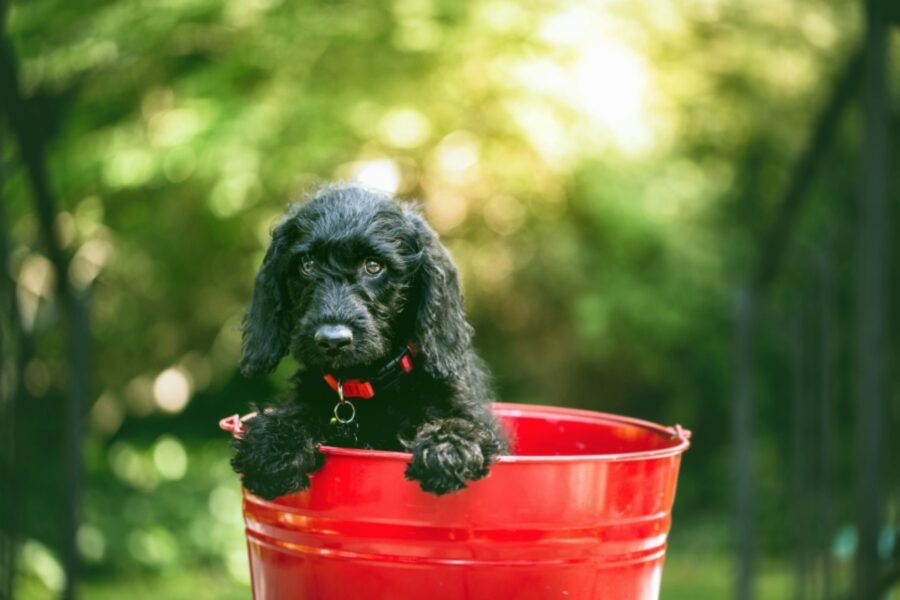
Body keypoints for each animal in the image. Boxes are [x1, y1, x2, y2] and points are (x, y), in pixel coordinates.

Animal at [230, 185, 506, 500]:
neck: (365, 383)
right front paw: (273, 445)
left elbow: (463, 424)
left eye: (374, 266)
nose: (332, 340)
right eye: (307, 265)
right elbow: (295, 413)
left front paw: (447, 448)